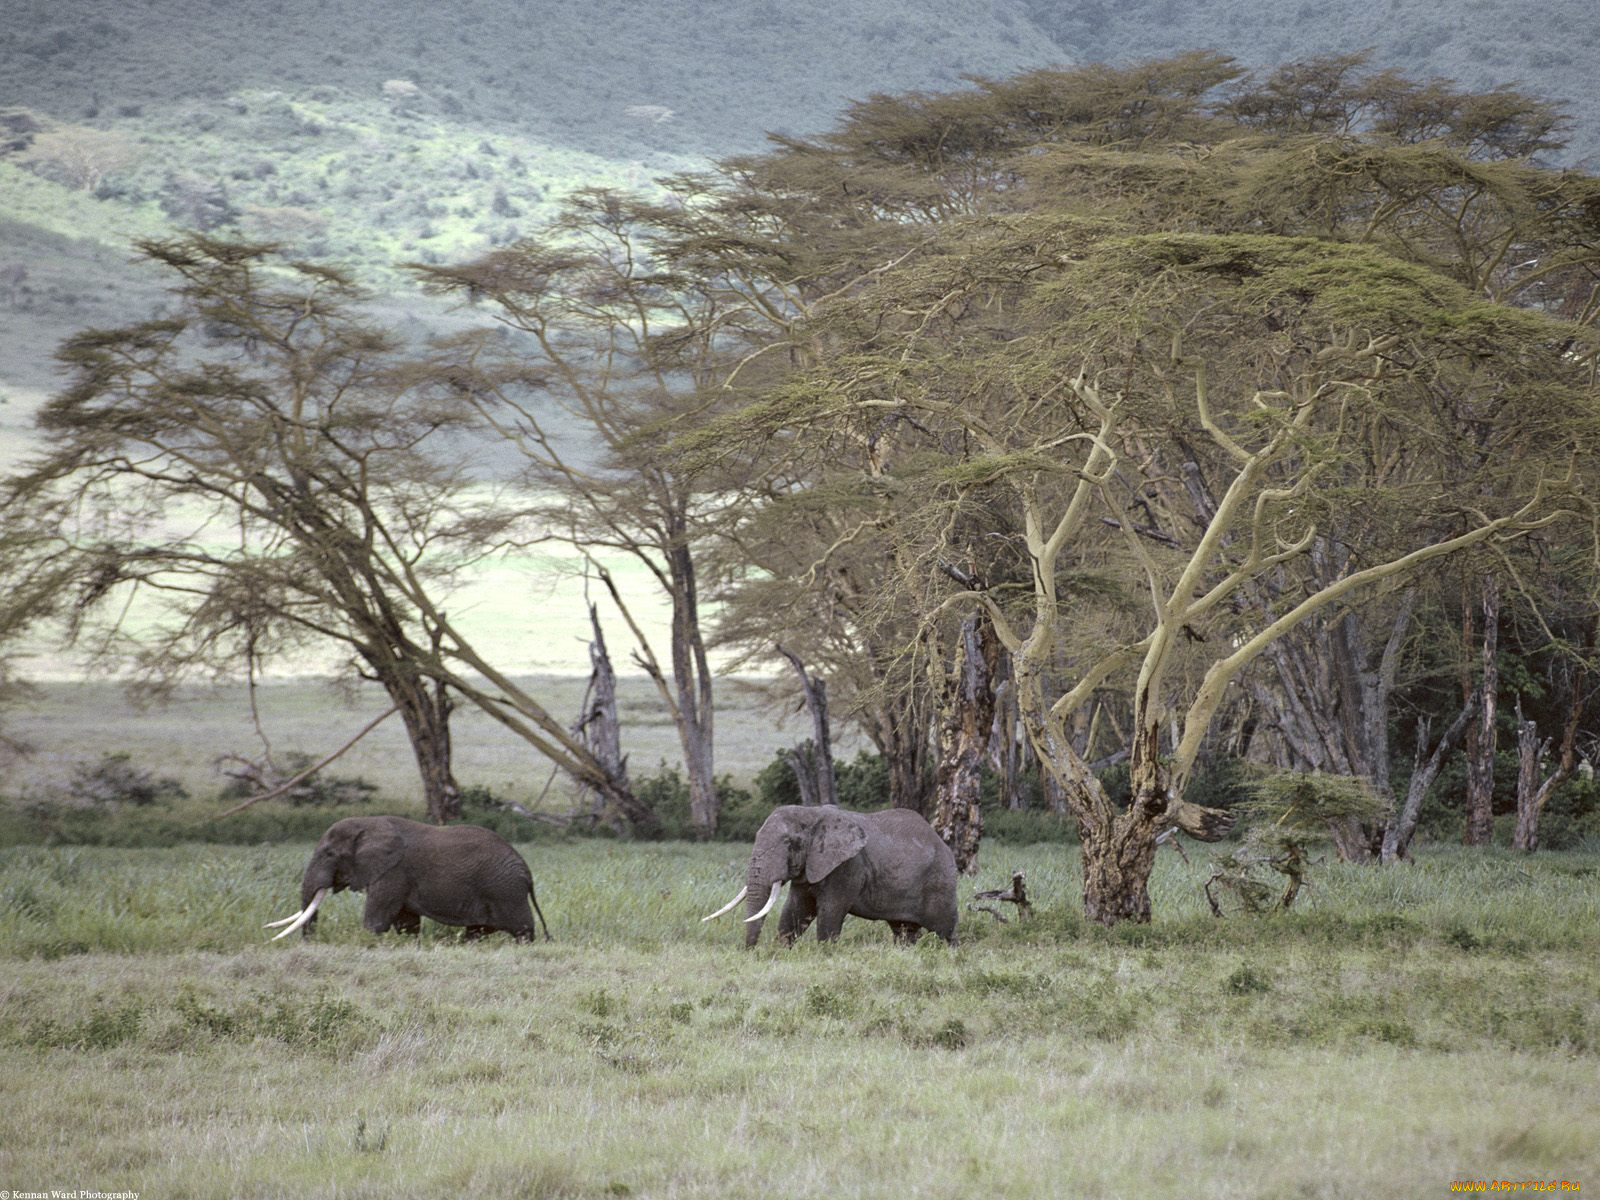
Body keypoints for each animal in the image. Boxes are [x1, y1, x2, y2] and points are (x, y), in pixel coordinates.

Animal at [266, 815, 550, 942]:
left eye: (329, 854)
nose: (309, 942)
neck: (369, 823)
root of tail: (527, 872)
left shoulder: (392, 872)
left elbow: (377, 921)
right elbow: (406, 923)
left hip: (505, 891)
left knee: (522, 929)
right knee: (477, 931)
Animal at [703, 804, 958, 946]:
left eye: (789, 843)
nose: (750, 951)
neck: (812, 813)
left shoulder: (848, 866)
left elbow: (830, 912)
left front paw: (825, 953)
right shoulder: (810, 867)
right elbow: (795, 910)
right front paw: (782, 951)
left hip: (940, 882)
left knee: (944, 932)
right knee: (904, 931)